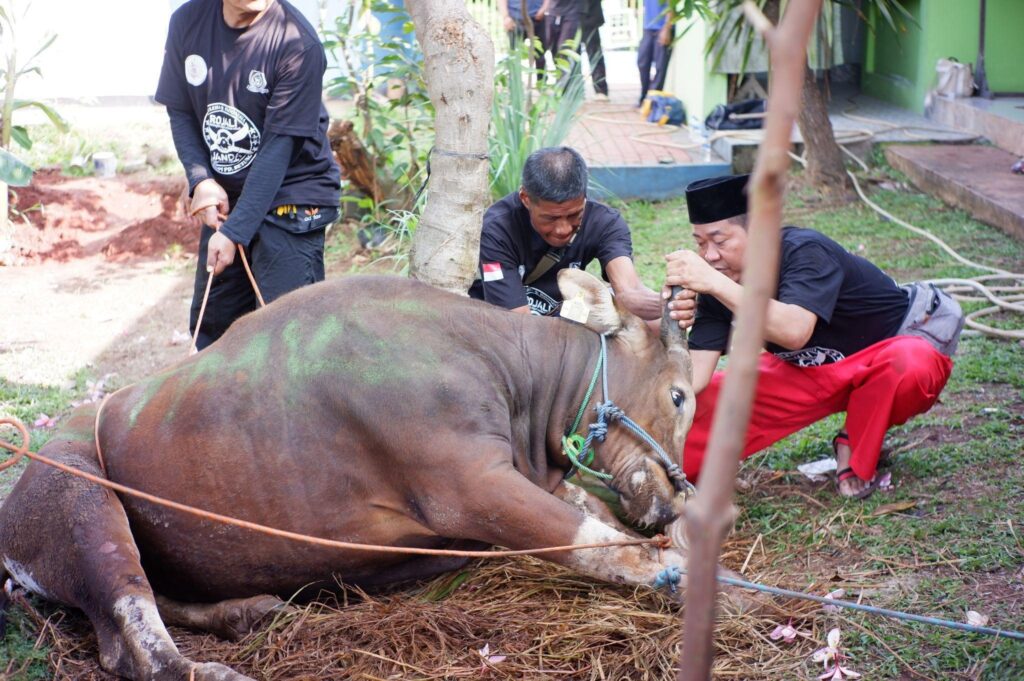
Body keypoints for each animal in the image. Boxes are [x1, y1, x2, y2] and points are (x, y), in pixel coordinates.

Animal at [2, 268, 753, 675]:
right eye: (679, 395)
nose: (674, 493)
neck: (507, 370)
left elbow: (594, 514)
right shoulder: (470, 485)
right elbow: (607, 545)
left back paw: (245, 609)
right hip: (80, 496)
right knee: (129, 630)